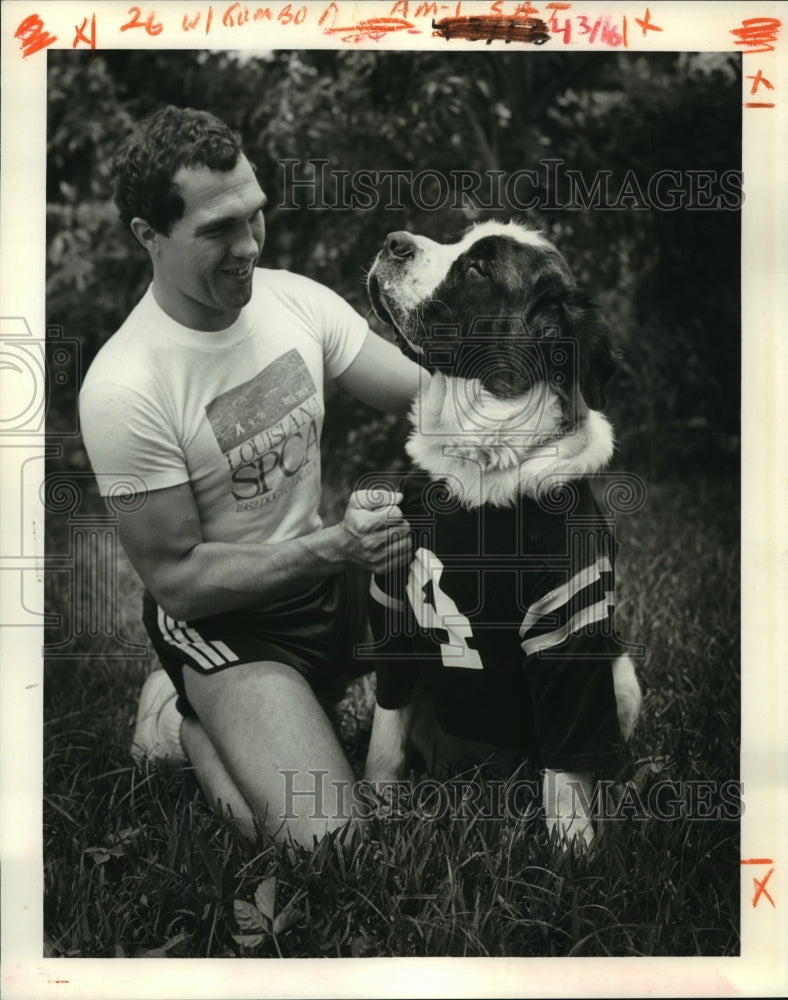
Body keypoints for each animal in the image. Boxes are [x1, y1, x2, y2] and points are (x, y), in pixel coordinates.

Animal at [362, 223, 640, 848]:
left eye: (479, 268)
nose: (393, 240)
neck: (483, 460)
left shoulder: (568, 624)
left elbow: (566, 767)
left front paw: (572, 848)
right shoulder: (394, 607)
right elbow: (385, 738)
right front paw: (375, 817)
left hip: (622, 679)